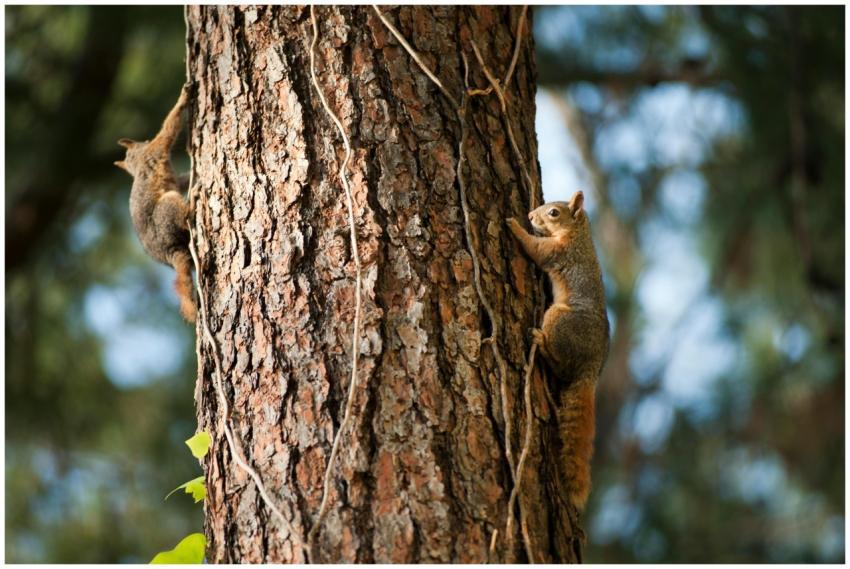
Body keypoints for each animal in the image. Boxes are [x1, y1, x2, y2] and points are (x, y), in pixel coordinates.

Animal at [114, 85, 196, 322]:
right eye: (144, 140)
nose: (145, 139)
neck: (137, 162)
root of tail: (169, 250)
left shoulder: (172, 176)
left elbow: (182, 179)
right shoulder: (158, 148)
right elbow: (169, 129)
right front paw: (184, 97)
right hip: (167, 208)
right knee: (183, 217)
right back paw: (192, 203)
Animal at [507, 190, 609, 511]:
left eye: (554, 213)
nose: (530, 215)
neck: (578, 233)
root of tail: (592, 368)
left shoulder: (557, 253)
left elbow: (534, 249)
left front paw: (514, 227)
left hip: (556, 318)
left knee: (559, 365)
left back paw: (540, 343)